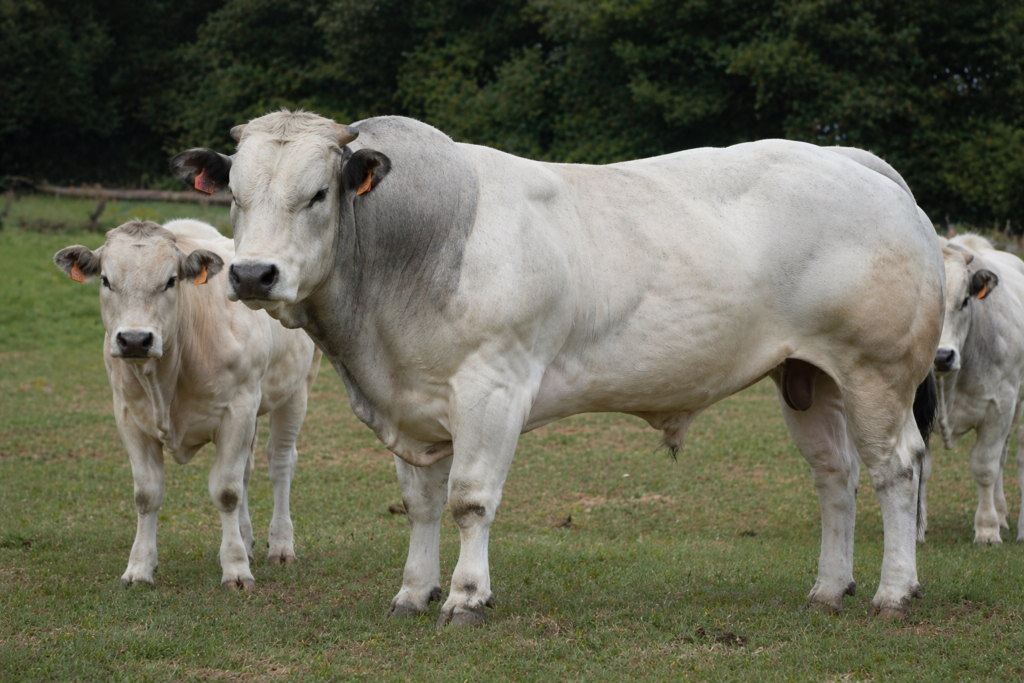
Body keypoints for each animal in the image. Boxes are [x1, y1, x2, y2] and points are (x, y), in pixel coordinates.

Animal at [54, 219, 321, 589]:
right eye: (106, 280)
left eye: (170, 280)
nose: (134, 339)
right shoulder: (128, 416)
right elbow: (147, 494)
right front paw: (139, 568)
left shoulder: (237, 409)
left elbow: (226, 491)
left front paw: (236, 569)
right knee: (247, 470)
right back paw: (246, 538)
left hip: (296, 389)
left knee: (280, 463)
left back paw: (280, 545)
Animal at [170, 111, 943, 624]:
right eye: (235, 194)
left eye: (318, 194)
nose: (252, 273)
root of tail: (852, 160)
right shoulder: (412, 402)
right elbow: (421, 503)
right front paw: (413, 590)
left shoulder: (493, 388)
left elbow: (470, 499)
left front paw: (466, 595)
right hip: (810, 377)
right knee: (835, 477)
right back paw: (829, 586)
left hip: (877, 373)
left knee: (896, 469)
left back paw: (893, 590)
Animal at [920, 234, 1024, 544]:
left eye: (965, 300)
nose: (941, 356)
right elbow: (922, 468)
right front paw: (917, 527)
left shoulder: (1000, 408)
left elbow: (985, 466)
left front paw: (987, 528)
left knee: (1002, 458)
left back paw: (1000, 515)